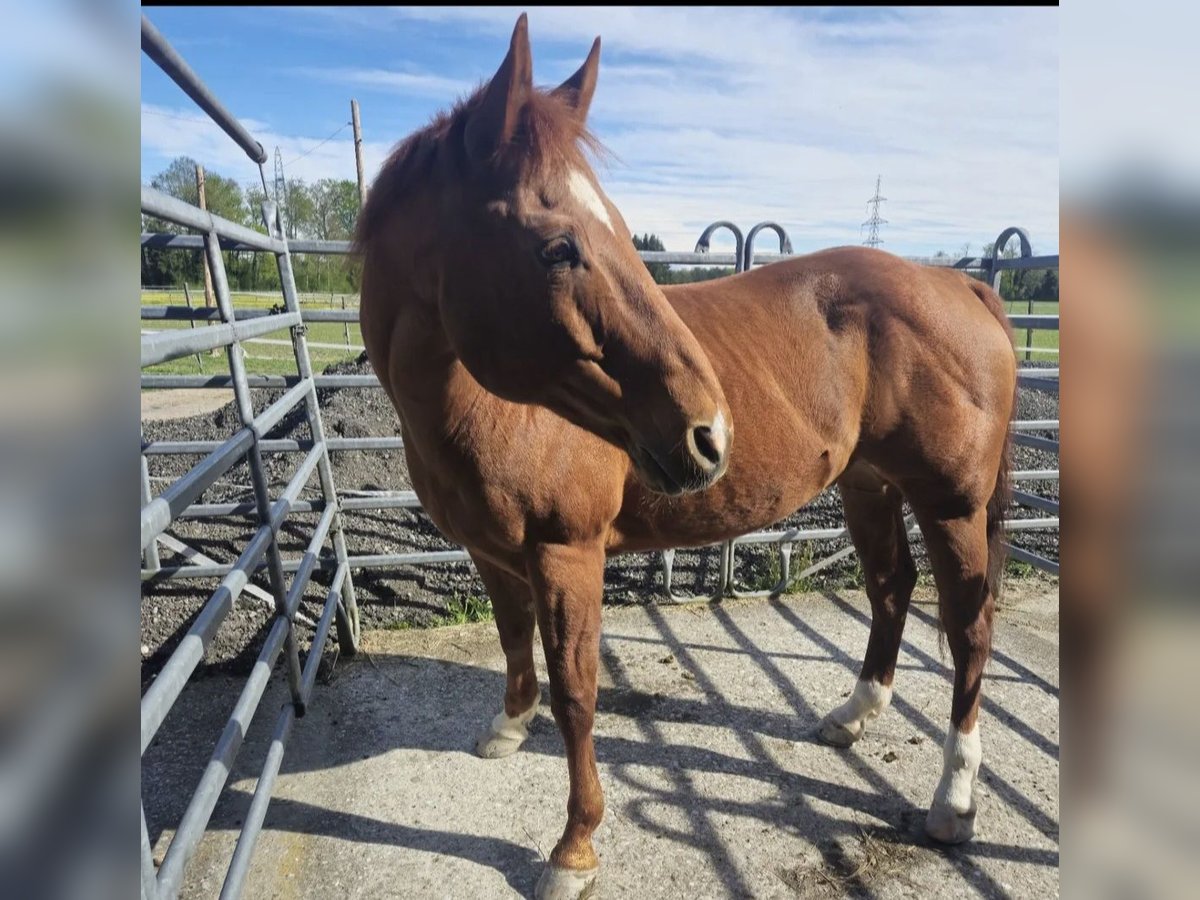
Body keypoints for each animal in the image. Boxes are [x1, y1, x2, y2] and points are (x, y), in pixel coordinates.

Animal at [356, 15, 1016, 899]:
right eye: (558, 247)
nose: (711, 434)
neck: (481, 406)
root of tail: (958, 284)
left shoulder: (566, 553)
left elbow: (577, 693)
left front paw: (574, 848)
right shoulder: (491, 551)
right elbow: (511, 637)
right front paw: (507, 728)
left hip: (951, 503)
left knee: (969, 626)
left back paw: (952, 799)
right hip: (870, 485)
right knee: (890, 589)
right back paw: (852, 717)